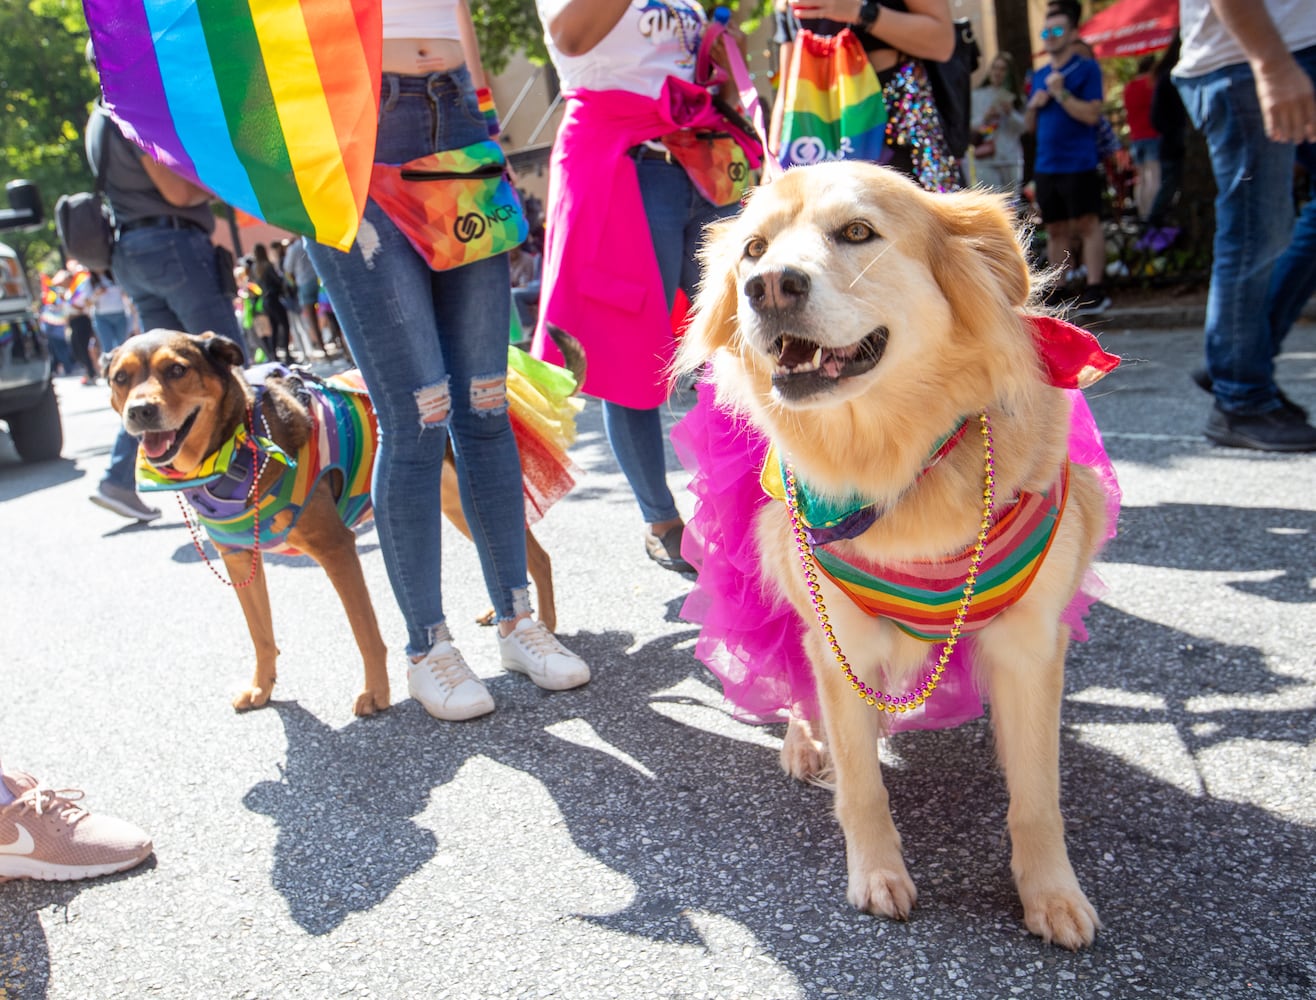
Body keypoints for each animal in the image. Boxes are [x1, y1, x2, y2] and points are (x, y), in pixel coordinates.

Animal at [106, 331, 565, 715]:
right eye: (120, 378)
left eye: (177, 370)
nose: (140, 411)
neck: (234, 452)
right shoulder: (238, 560)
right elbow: (261, 636)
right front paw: (261, 688)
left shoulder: (336, 548)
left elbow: (365, 631)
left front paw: (376, 693)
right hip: (454, 502)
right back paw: (498, 611)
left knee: (540, 557)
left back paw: (545, 625)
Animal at [679, 161, 1110, 947]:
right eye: (754, 249)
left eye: (857, 232)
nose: (768, 287)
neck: (897, 464)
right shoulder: (841, 638)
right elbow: (862, 784)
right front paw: (877, 872)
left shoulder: (1030, 647)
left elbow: (1037, 794)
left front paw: (1051, 892)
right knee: (791, 667)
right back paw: (804, 739)